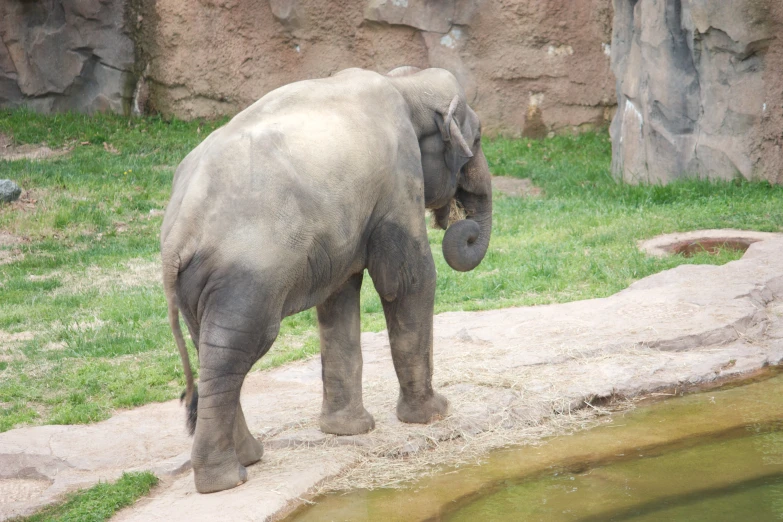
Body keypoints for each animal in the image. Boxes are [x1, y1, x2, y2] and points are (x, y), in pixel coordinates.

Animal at [160, 66, 494, 492]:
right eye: (477, 139)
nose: (464, 226)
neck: (405, 83)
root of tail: (177, 233)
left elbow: (339, 297)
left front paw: (348, 431)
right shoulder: (397, 180)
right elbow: (407, 281)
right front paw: (434, 414)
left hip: (198, 284)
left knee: (210, 350)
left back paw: (248, 459)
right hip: (244, 275)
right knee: (234, 349)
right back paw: (225, 480)